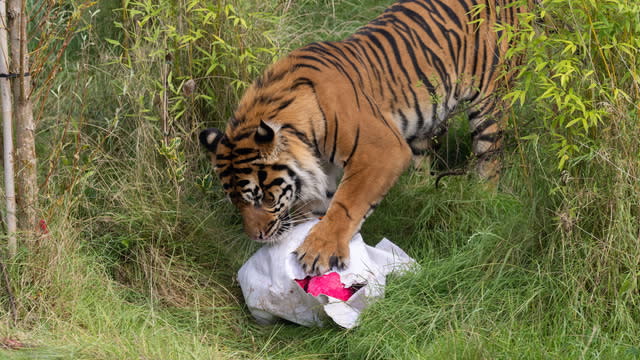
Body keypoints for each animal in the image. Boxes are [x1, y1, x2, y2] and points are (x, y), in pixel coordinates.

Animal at [202, 0, 528, 276]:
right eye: (236, 202)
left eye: (262, 198)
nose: (256, 237)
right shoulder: (322, 168)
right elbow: (323, 205)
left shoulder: (380, 149)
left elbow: (347, 204)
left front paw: (320, 250)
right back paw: (420, 195)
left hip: (491, 101)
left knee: (490, 159)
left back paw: (483, 199)